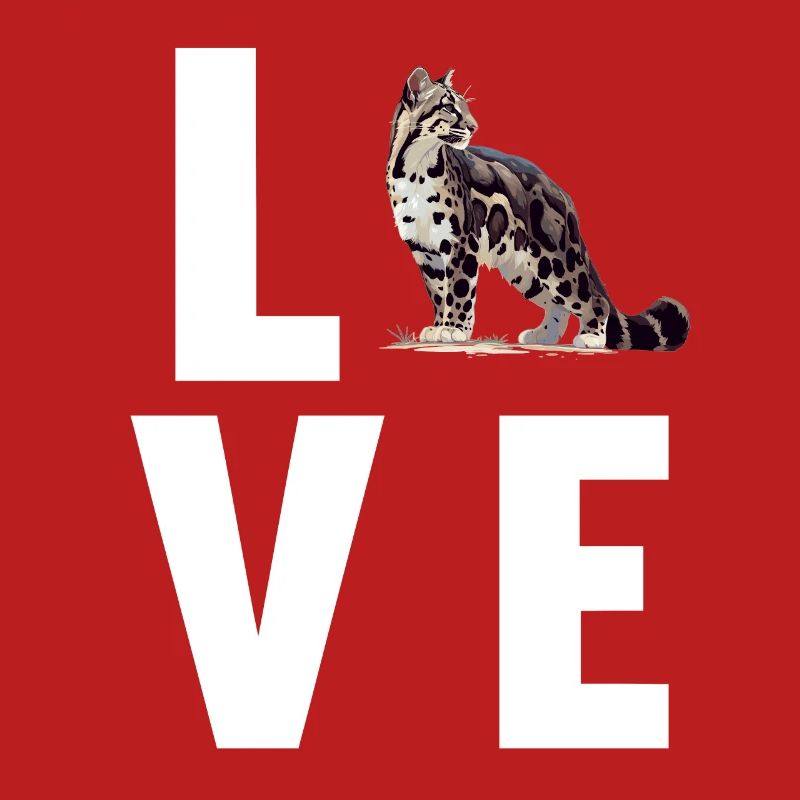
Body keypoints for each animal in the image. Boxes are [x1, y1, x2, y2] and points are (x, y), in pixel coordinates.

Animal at [386, 67, 690, 350]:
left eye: (466, 106)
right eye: (449, 107)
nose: (474, 126)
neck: (415, 170)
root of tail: (561, 192)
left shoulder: (461, 243)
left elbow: (458, 290)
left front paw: (454, 329)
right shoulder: (425, 250)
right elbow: (439, 293)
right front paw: (439, 326)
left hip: (556, 261)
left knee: (593, 298)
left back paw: (591, 337)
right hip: (526, 270)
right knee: (557, 305)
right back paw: (543, 335)